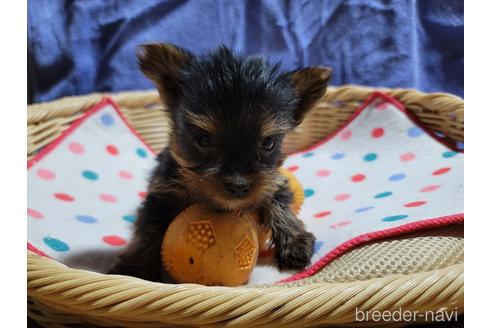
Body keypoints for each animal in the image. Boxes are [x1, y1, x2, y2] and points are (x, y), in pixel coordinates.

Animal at [110, 43, 332, 282]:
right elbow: (149, 226)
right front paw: (135, 270)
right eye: (204, 139)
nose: (239, 185)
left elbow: (279, 200)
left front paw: (295, 241)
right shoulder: (162, 192)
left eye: (268, 143)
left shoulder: (273, 180)